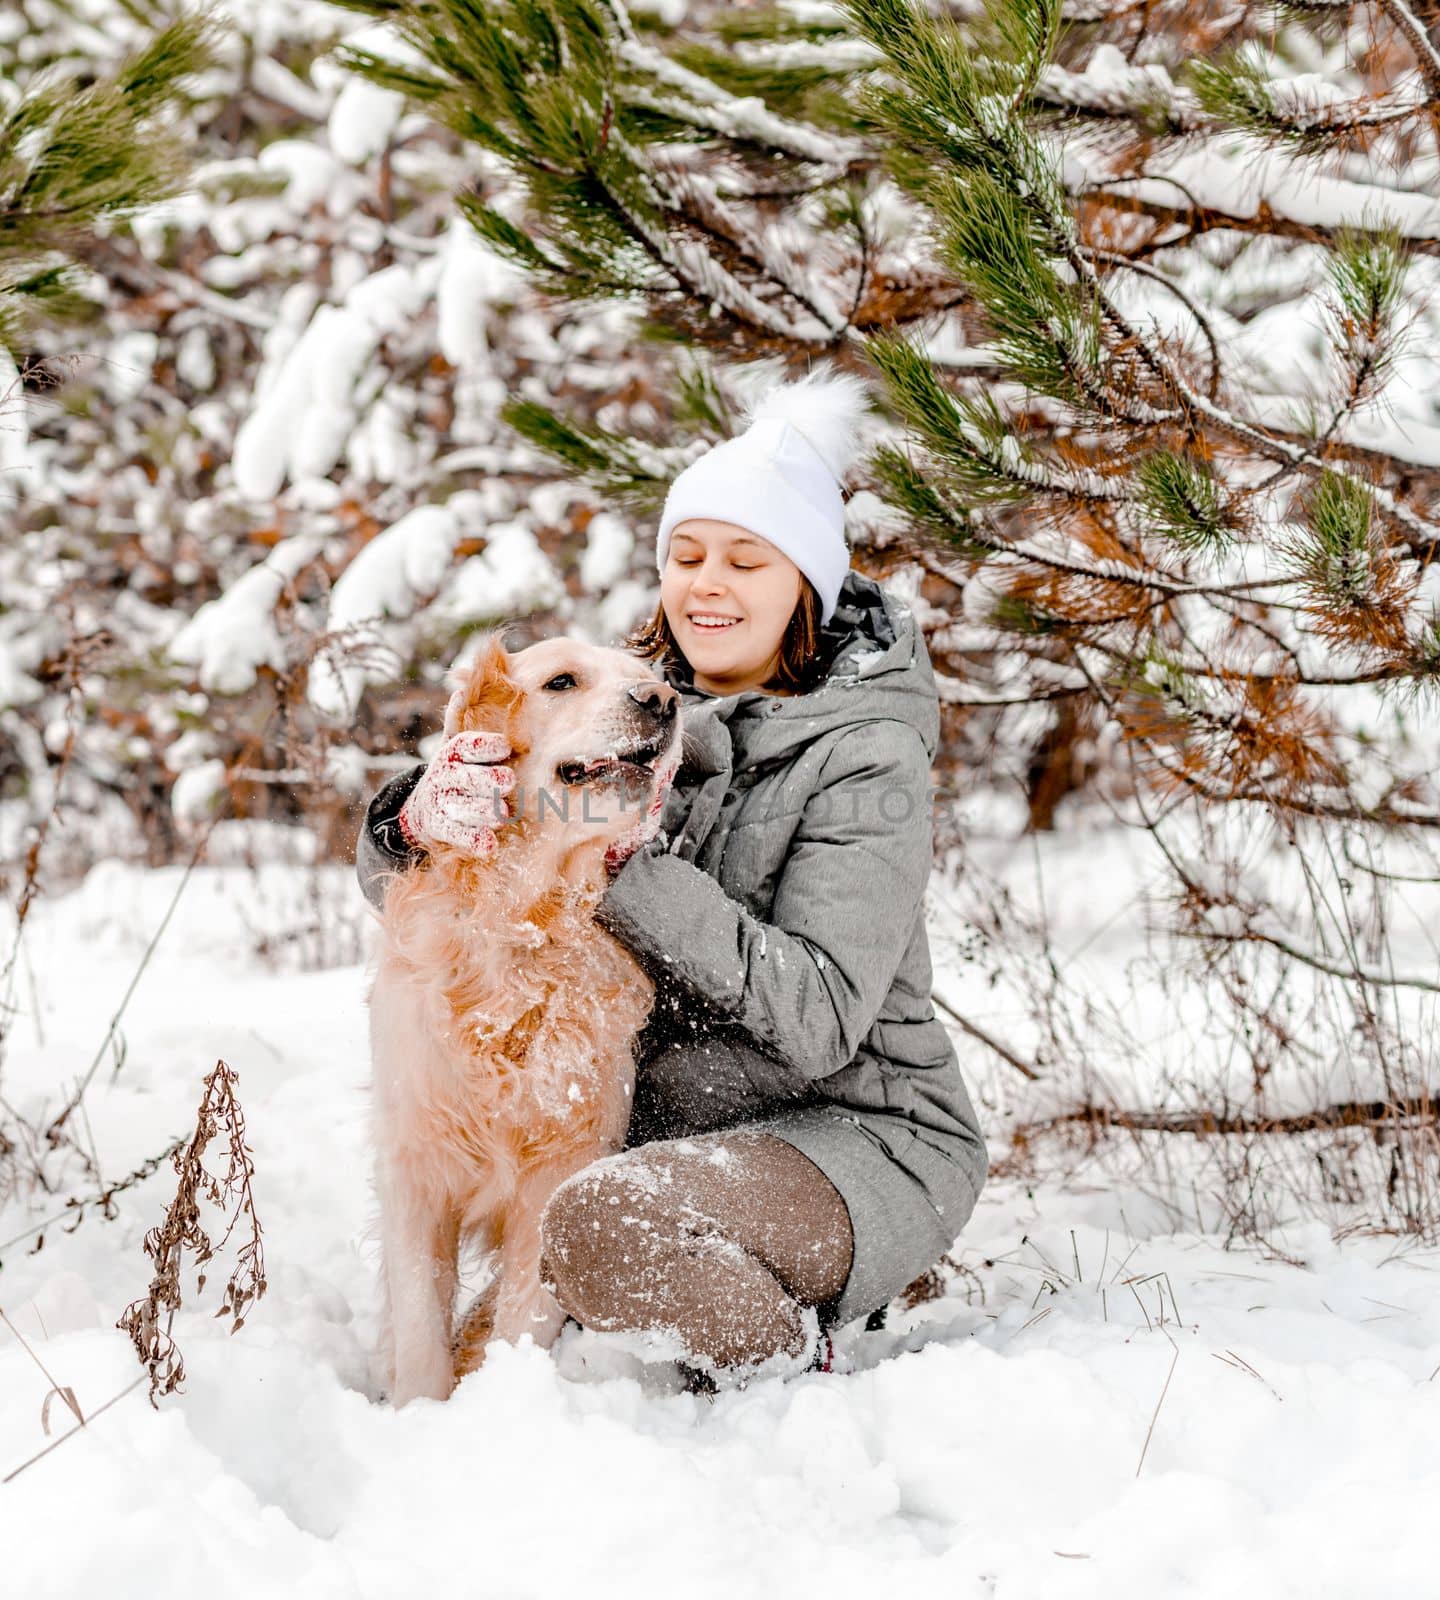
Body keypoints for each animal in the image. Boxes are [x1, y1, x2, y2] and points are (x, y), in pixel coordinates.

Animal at [371, 630, 684, 1408]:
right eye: (561, 681)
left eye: (650, 678)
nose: (664, 702)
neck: (525, 922)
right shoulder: (416, 1160)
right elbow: (419, 1323)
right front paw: (419, 1410)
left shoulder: (565, 1161)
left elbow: (521, 1317)